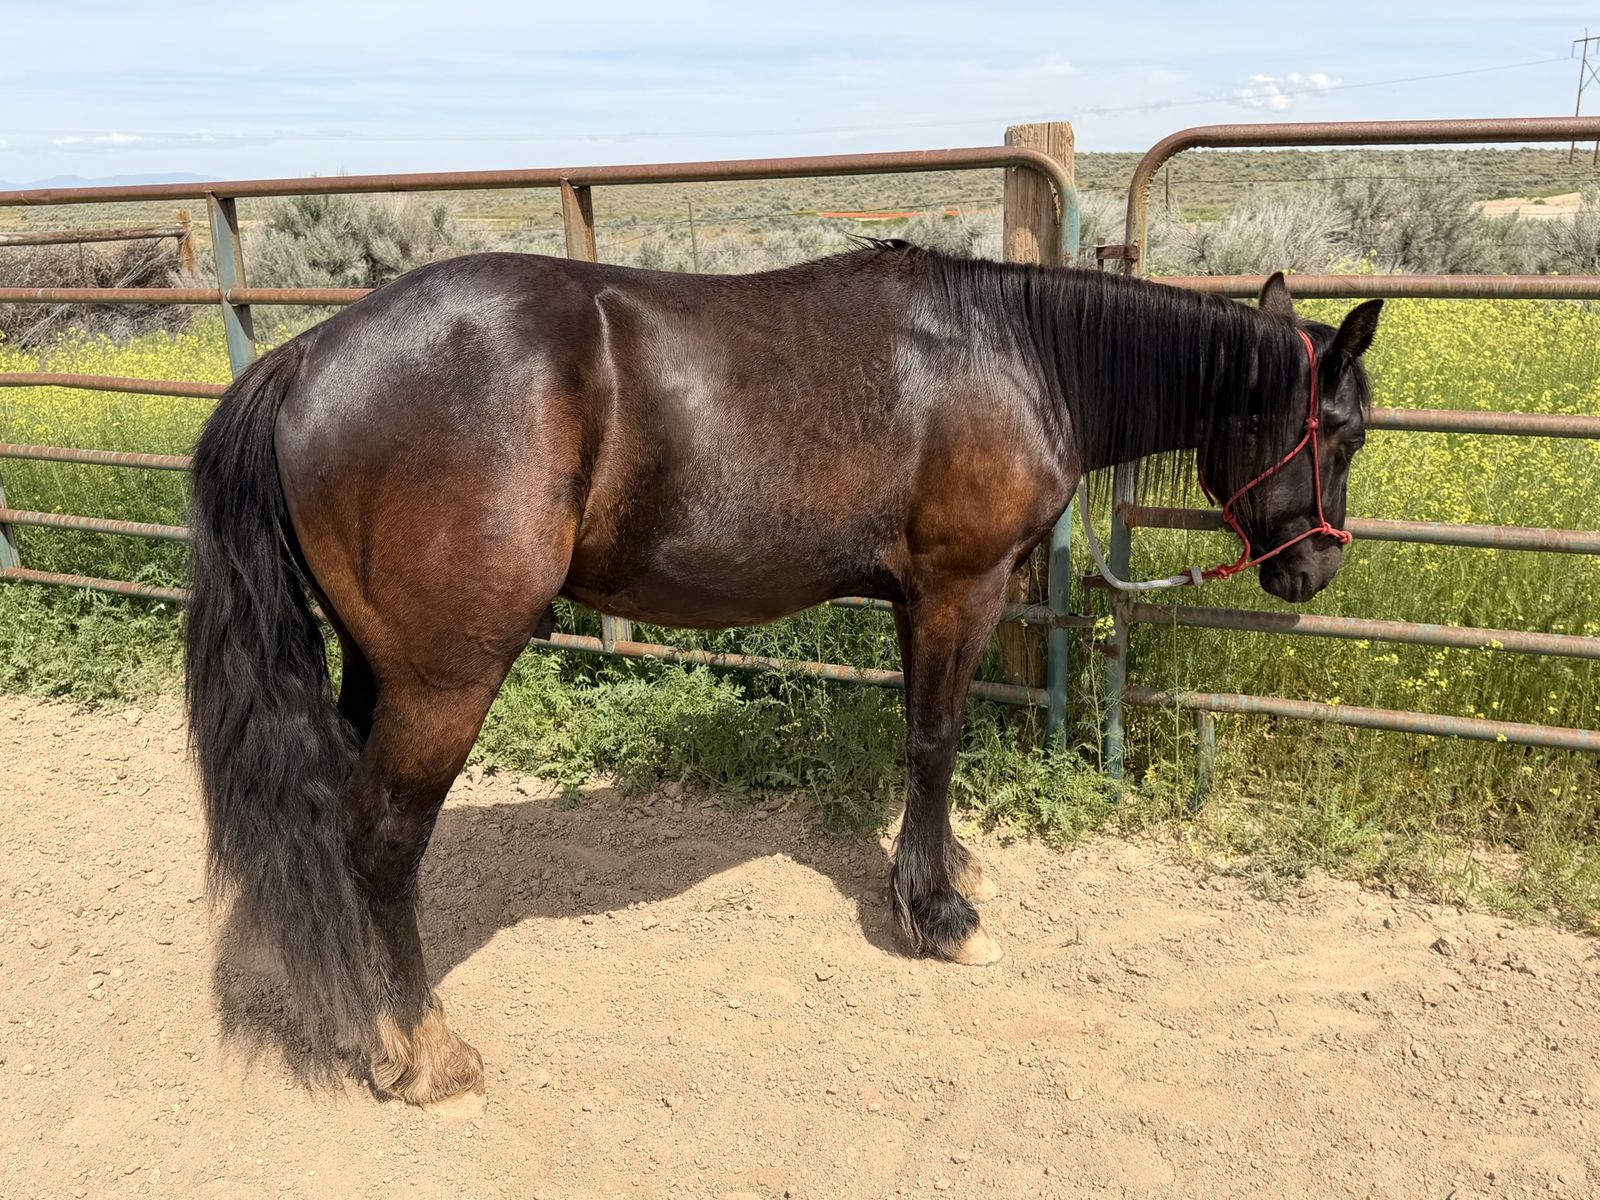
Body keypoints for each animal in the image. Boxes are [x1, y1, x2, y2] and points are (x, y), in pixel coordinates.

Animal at [184, 243, 1383, 1110]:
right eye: (1340, 430)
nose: (1317, 567)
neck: (1011, 354)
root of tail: (307, 357)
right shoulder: (958, 589)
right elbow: (935, 741)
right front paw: (939, 913)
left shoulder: (918, 598)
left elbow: (926, 745)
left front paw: (943, 870)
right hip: (445, 680)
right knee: (381, 838)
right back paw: (425, 1051)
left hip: (375, 670)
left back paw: (367, 1024)